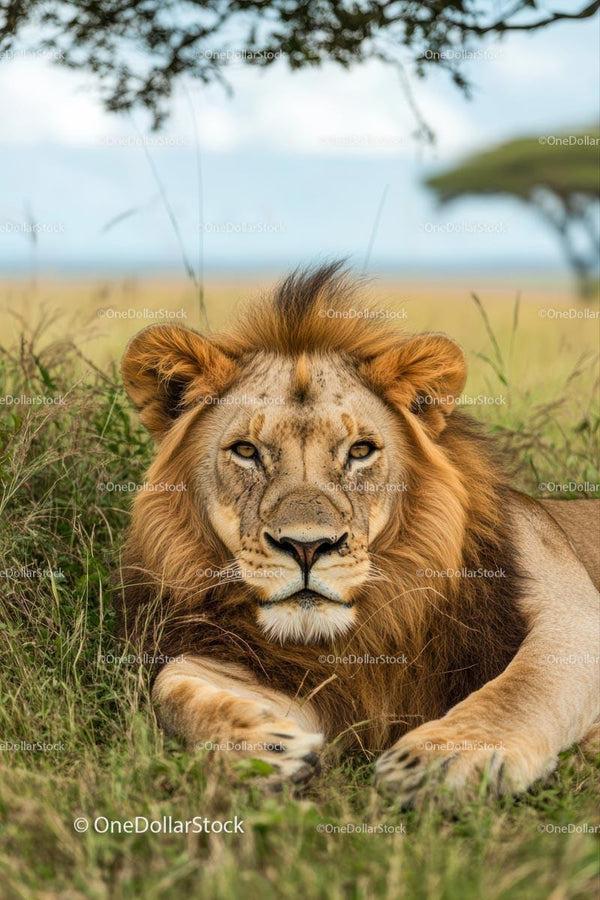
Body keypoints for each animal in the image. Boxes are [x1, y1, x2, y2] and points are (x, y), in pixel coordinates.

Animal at [118, 263, 599, 804]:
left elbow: (525, 685)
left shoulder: (569, 607)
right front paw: (265, 745)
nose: (307, 546)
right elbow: (171, 684)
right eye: (245, 451)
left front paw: (439, 761)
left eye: (360, 450)